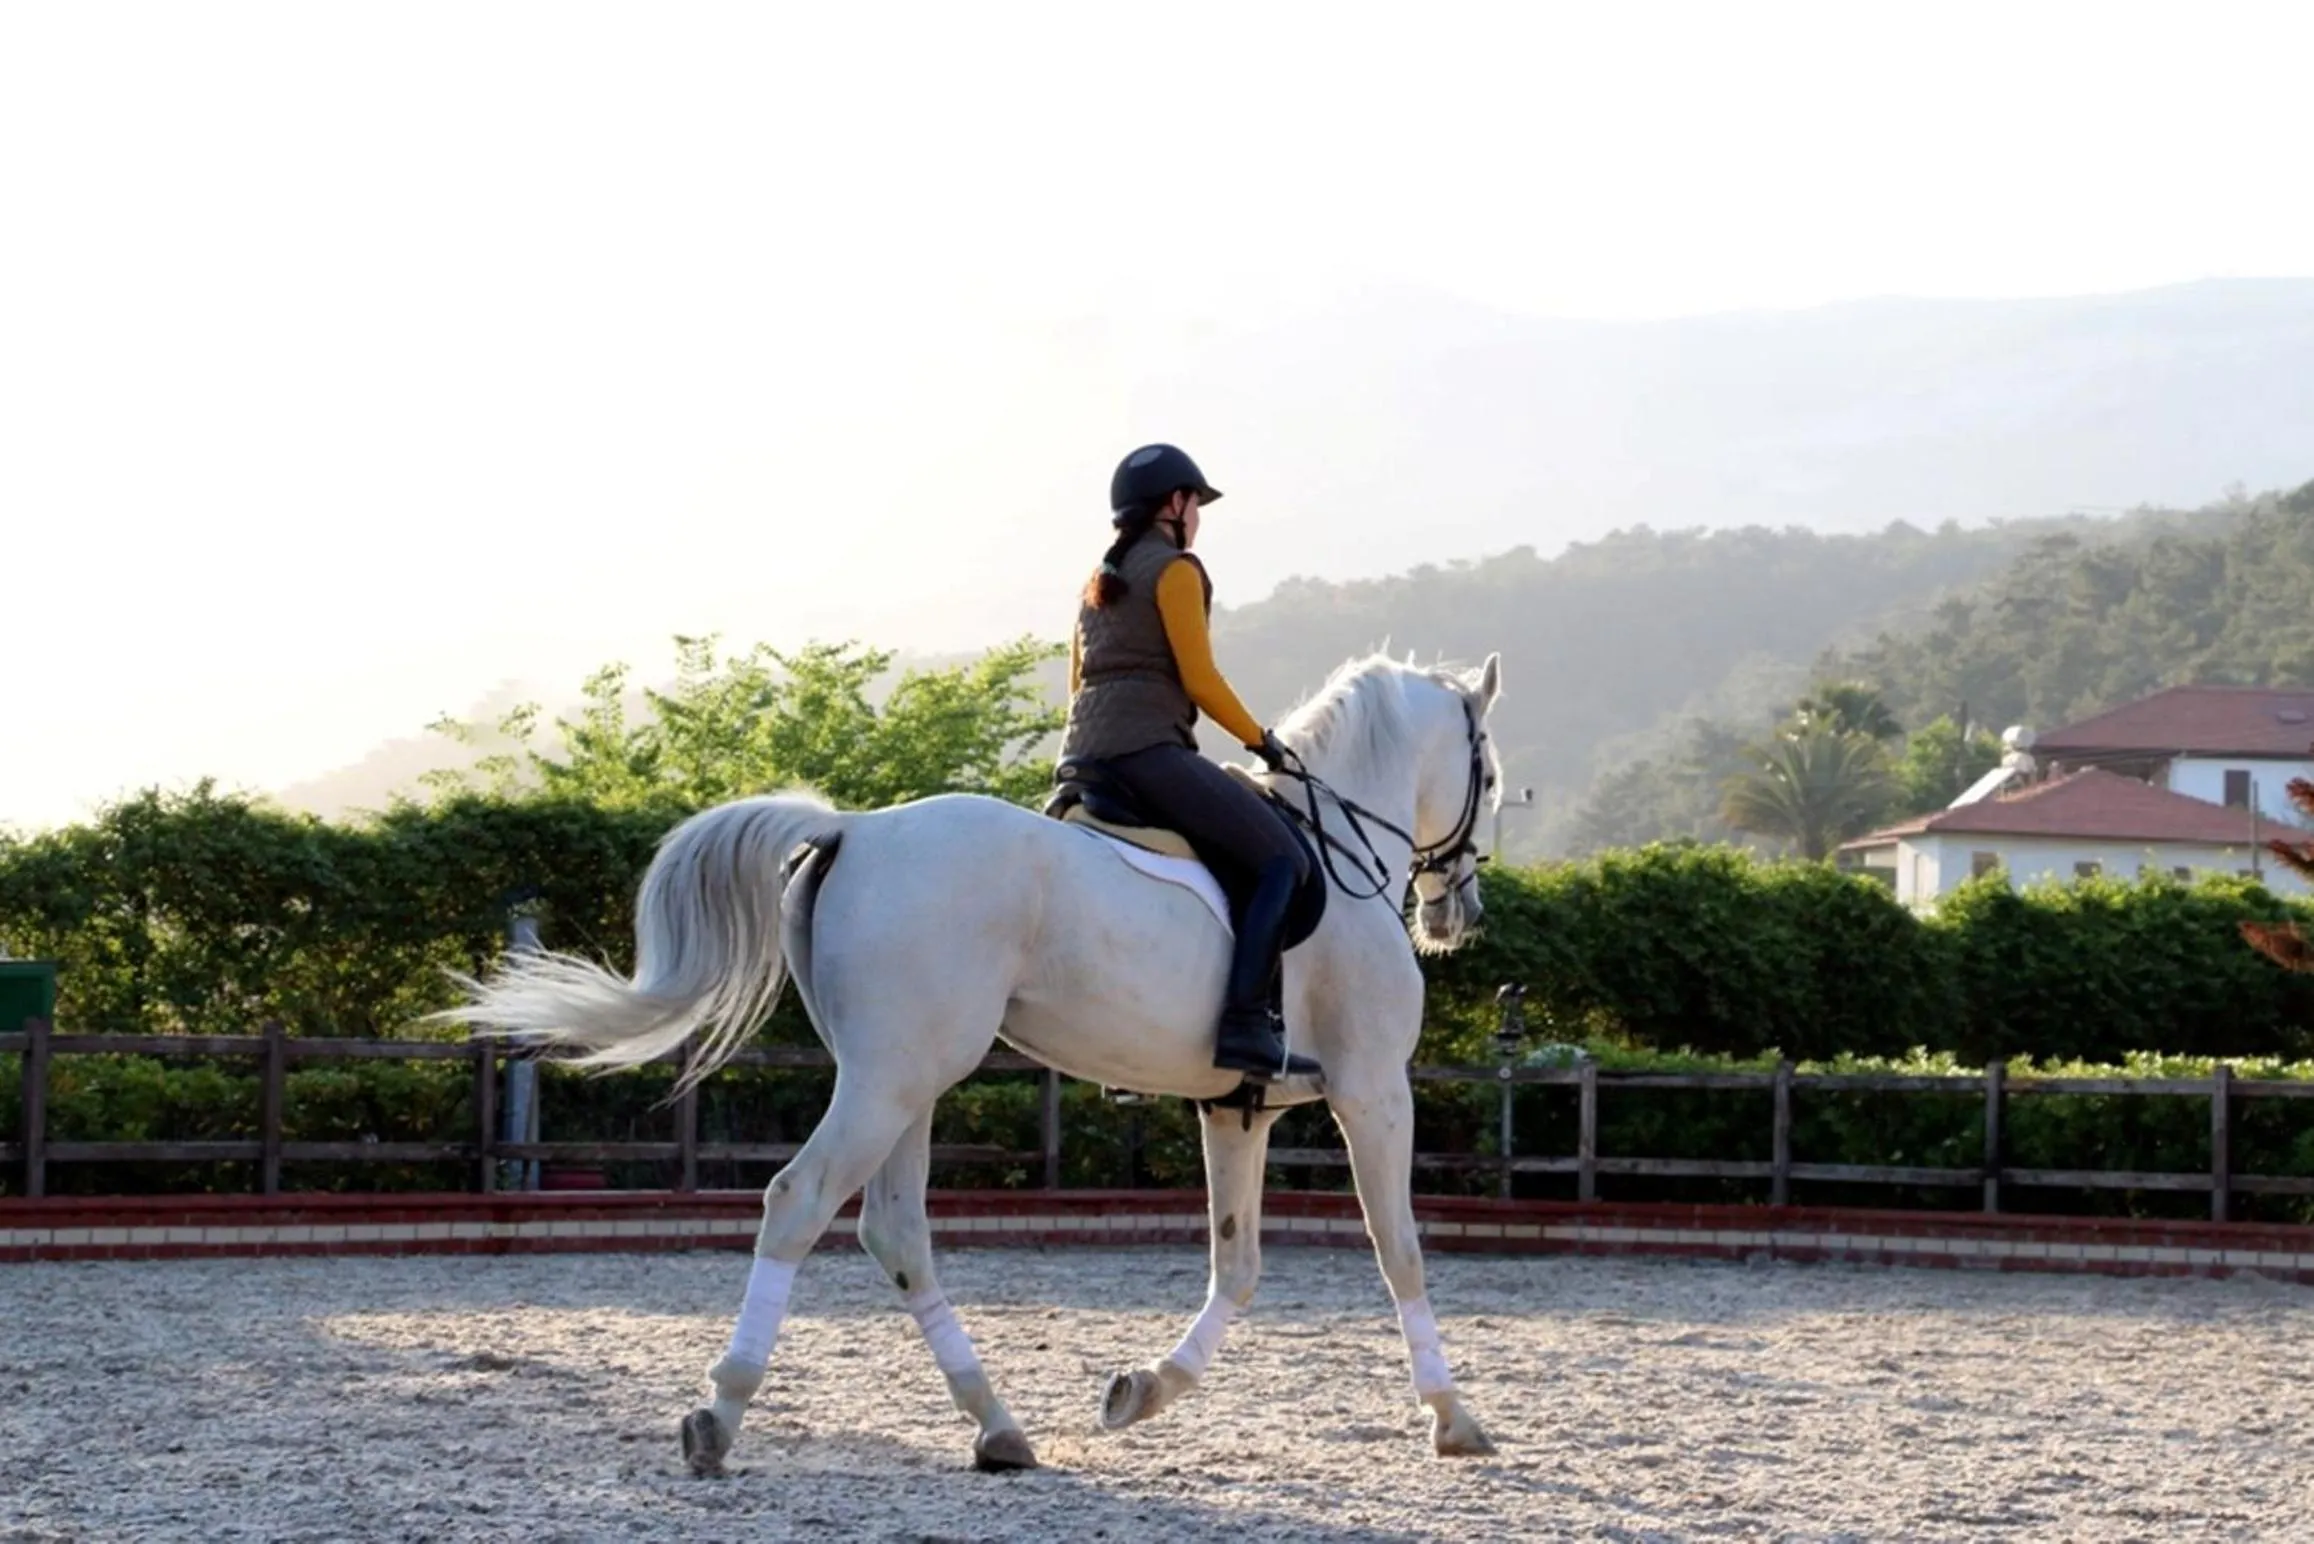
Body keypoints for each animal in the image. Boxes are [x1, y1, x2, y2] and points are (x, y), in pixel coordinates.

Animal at [443, 649, 1507, 1474]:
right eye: (1490, 777)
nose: (1459, 913)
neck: (1341, 847)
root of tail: (856, 827)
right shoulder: (1374, 1094)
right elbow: (1400, 1249)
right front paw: (1454, 1418)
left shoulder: (1237, 1106)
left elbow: (1237, 1264)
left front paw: (1143, 1390)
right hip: (892, 1080)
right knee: (798, 1201)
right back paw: (724, 1412)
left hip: (904, 1079)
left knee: (896, 1232)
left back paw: (998, 1427)